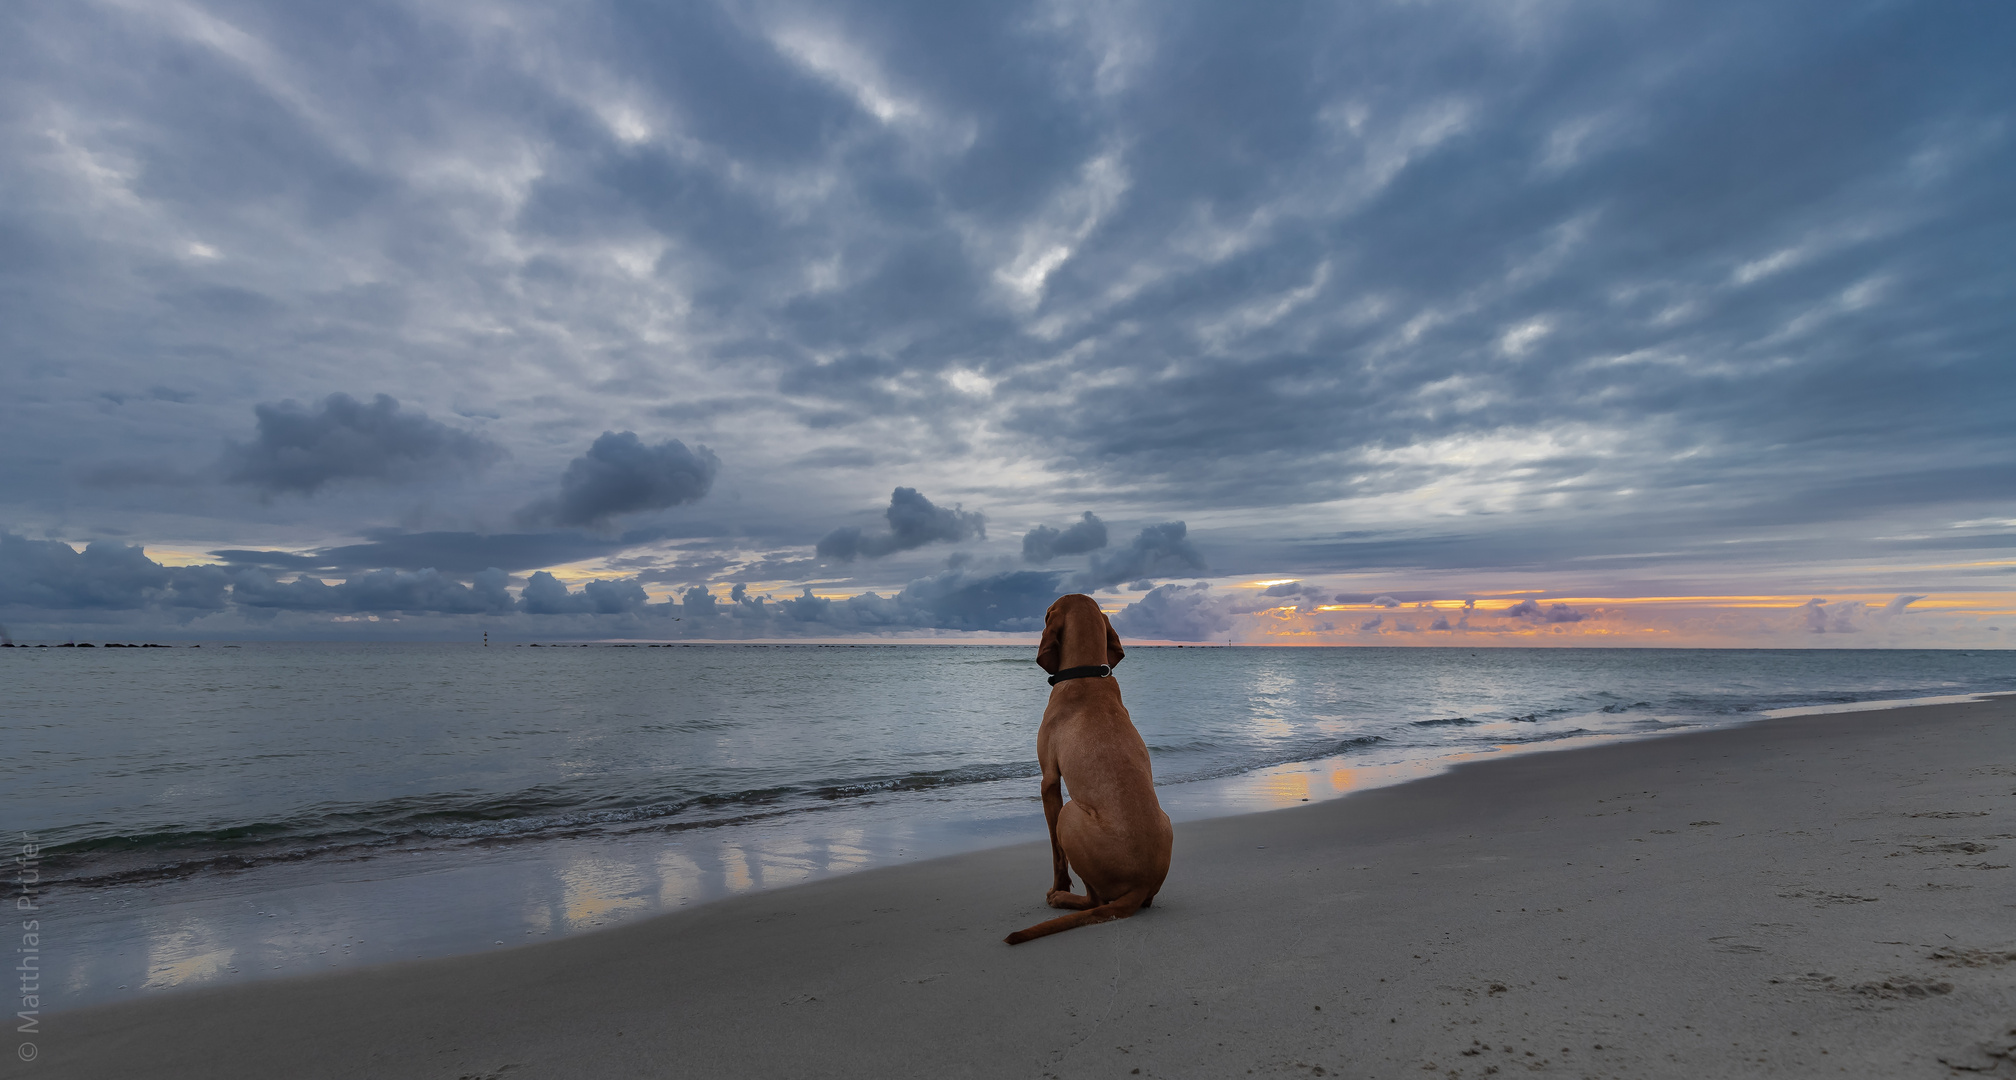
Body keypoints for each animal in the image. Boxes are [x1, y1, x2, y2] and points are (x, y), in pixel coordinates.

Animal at [1003, 596, 1177, 938]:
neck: (1087, 675)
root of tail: (1140, 884)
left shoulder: (1049, 779)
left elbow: (1056, 854)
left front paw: (1057, 887)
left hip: (1070, 814)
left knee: (1094, 900)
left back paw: (1063, 898)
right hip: (1167, 824)